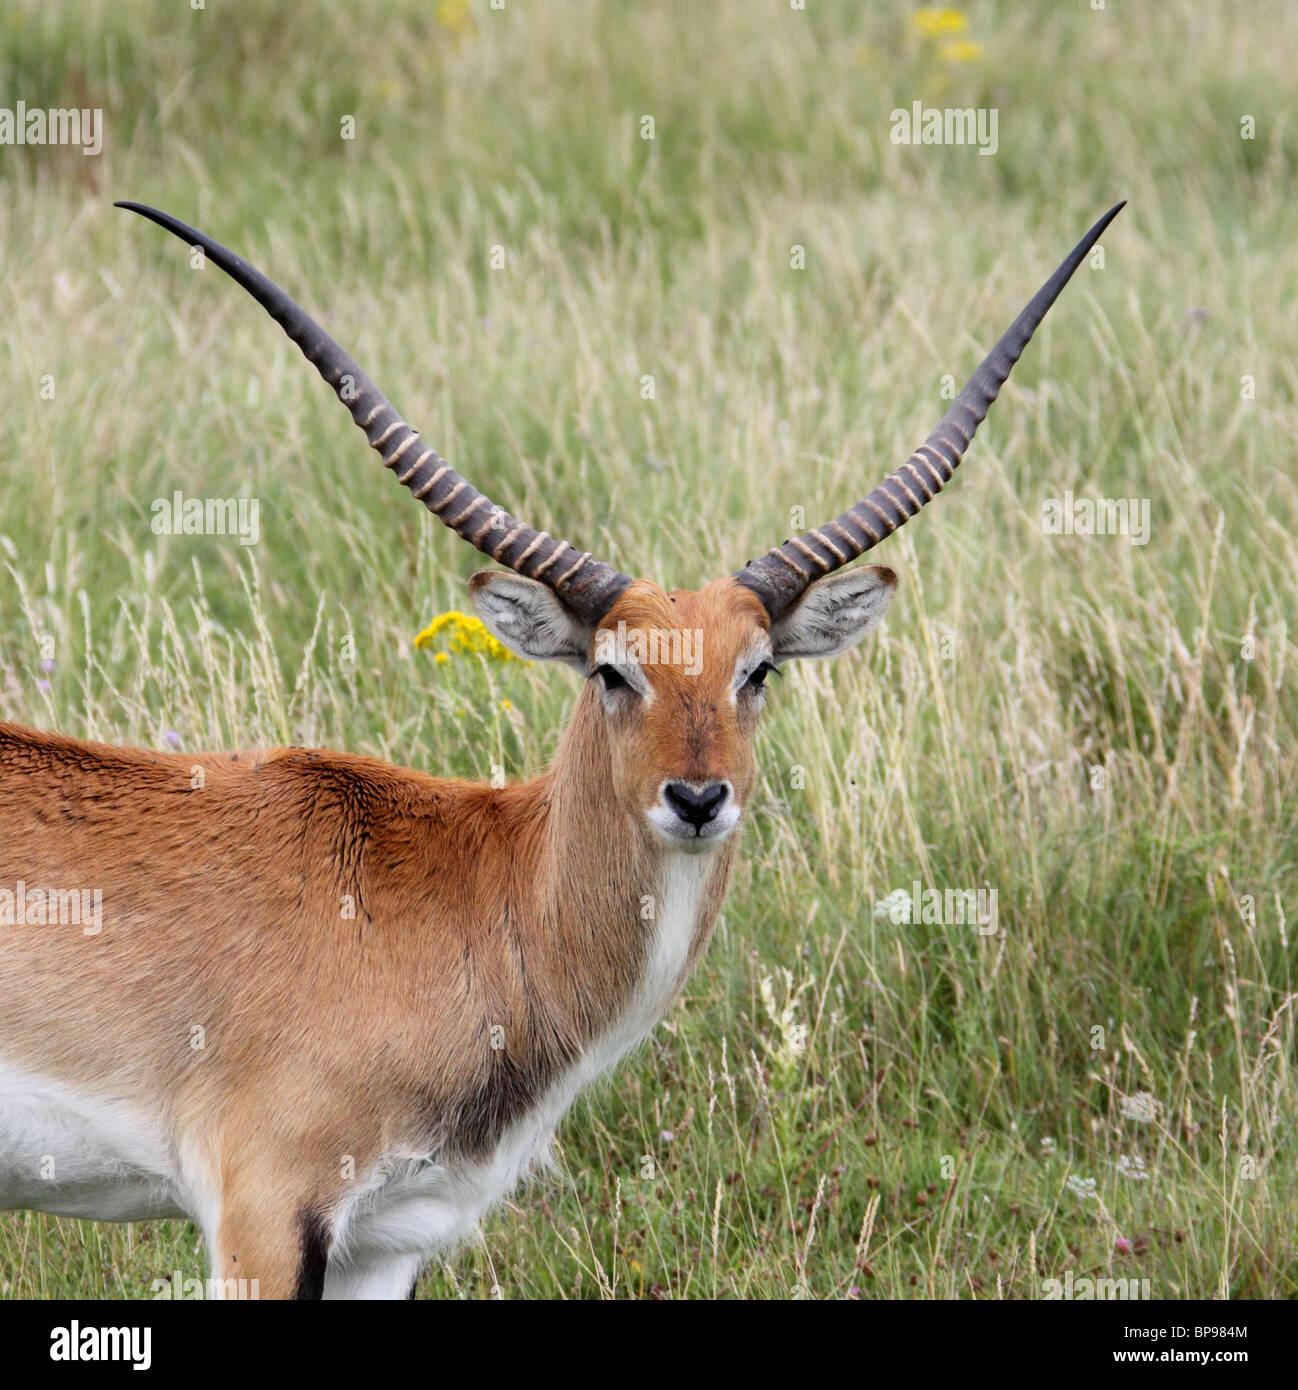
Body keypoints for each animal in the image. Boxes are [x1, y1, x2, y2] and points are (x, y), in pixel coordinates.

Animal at [0, 201, 1122, 1295]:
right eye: (612, 670)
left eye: (757, 668)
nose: (697, 798)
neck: (473, 888)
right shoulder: (265, 1213)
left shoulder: (386, 1241)